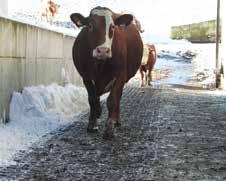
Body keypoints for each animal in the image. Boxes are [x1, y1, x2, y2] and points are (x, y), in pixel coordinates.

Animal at [70, 6, 142, 139]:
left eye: (112, 27)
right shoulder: (86, 77)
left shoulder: (120, 75)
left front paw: (109, 128)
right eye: (90, 25)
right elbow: (92, 99)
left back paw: (116, 120)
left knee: (118, 98)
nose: (103, 50)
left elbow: (112, 101)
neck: (100, 65)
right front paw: (92, 123)